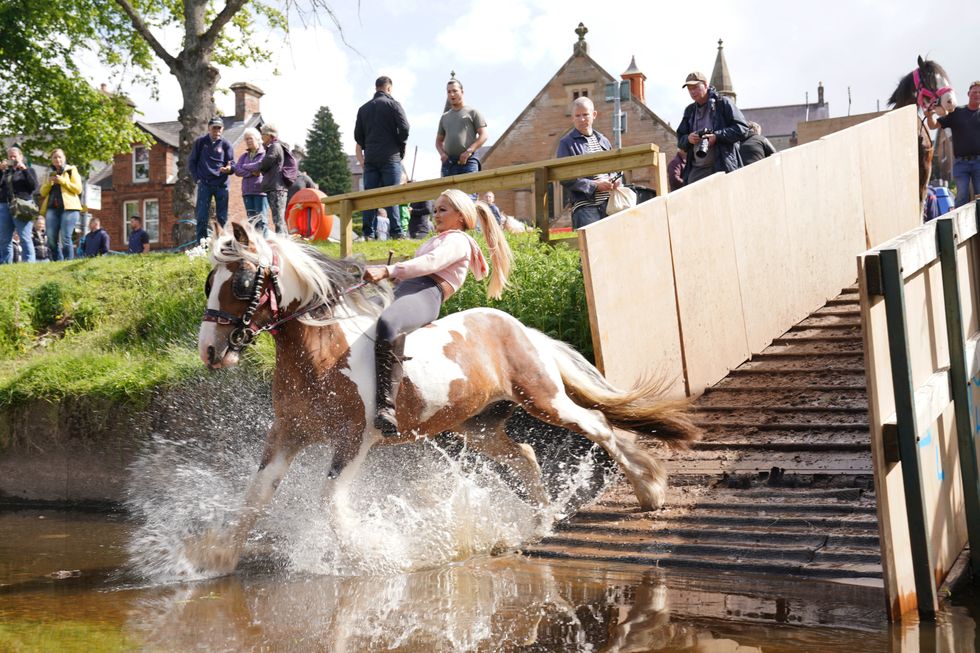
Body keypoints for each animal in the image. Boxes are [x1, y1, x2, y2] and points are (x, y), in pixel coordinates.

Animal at [192, 219, 700, 574]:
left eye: (241, 284)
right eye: (208, 283)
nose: (211, 352)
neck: (322, 352)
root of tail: (521, 329)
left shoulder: (354, 440)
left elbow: (329, 501)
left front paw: (373, 554)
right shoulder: (288, 434)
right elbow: (256, 495)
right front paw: (216, 560)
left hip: (544, 399)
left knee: (596, 425)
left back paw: (649, 490)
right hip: (477, 426)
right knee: (526, 454)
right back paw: (540, 522)